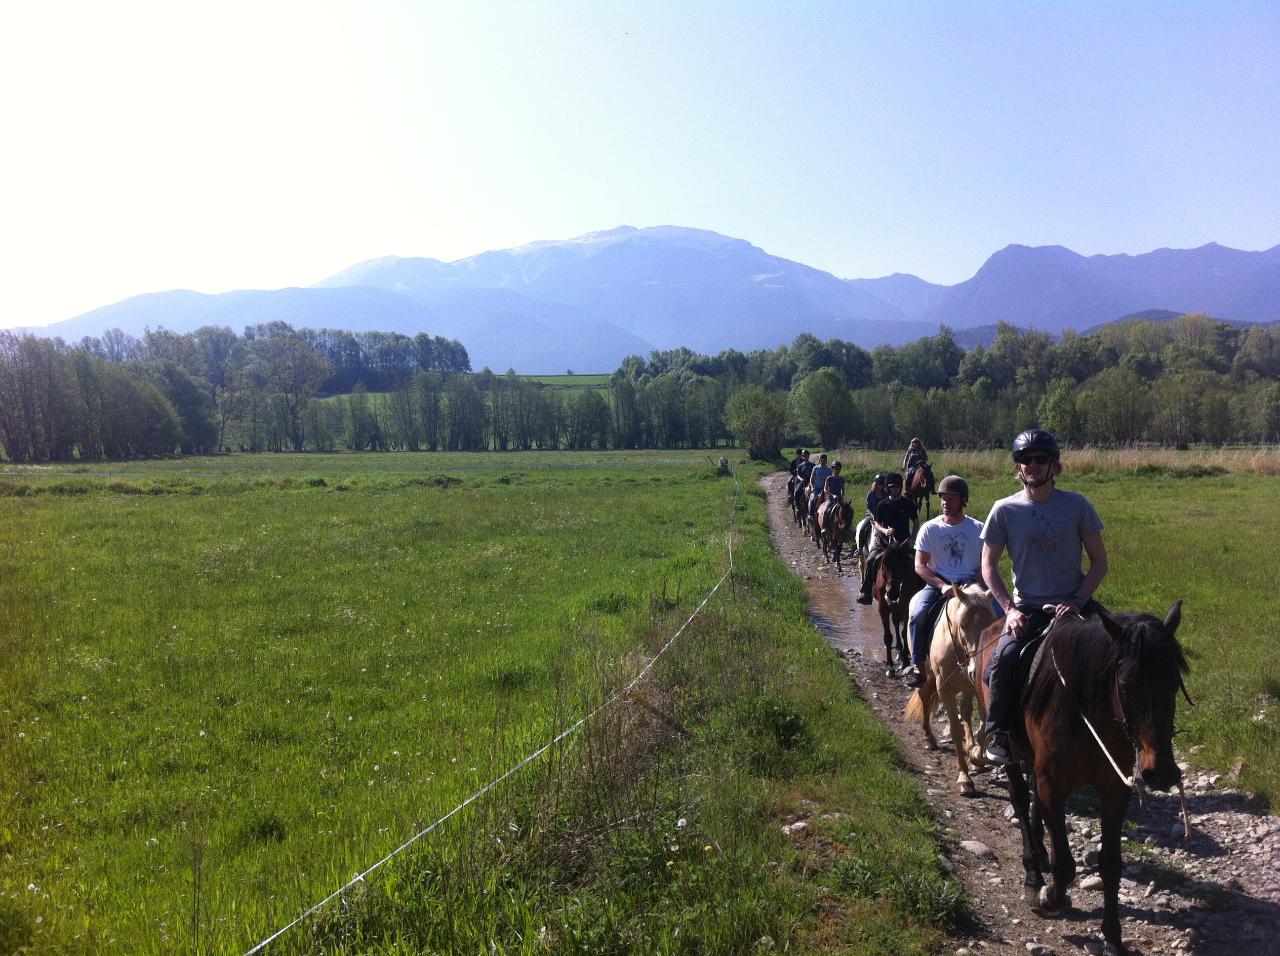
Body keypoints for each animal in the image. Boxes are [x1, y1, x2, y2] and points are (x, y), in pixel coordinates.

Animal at [870, 534, 921, 675]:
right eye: (884, 563)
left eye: (901, 564)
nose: (892, 593)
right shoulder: (883, 608)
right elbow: (888, 636)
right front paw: (889, 666)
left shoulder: (905, 608)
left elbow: (904, 632)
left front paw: (905, 661)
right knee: (896, 624)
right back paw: (898, 649)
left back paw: (904, 652)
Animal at [901, 586, 998, 798]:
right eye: (963, 625)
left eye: (991, 624)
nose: (976, 670)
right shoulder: (944, 688)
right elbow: (955, 730)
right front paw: (965, 779)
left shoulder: (978, 688)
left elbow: (983, 726)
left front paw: (976, 757)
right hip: (926, 675)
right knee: (925, 699)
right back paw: (929, 739)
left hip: (967, 687)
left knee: (967, 711)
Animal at [972, 601, 1192, 952]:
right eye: (1126, 685)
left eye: (1173, 684)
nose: (1160, 772)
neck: (1085, 709)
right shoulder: (1053, 784)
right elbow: (1065, 864)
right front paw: (1049, 898)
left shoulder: (1114, 791)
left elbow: (1111, 865)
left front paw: (1113, 937)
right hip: (1012, 750)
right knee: (1020, 799)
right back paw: (1033, 870)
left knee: (1033, 803)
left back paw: (1040, 855)